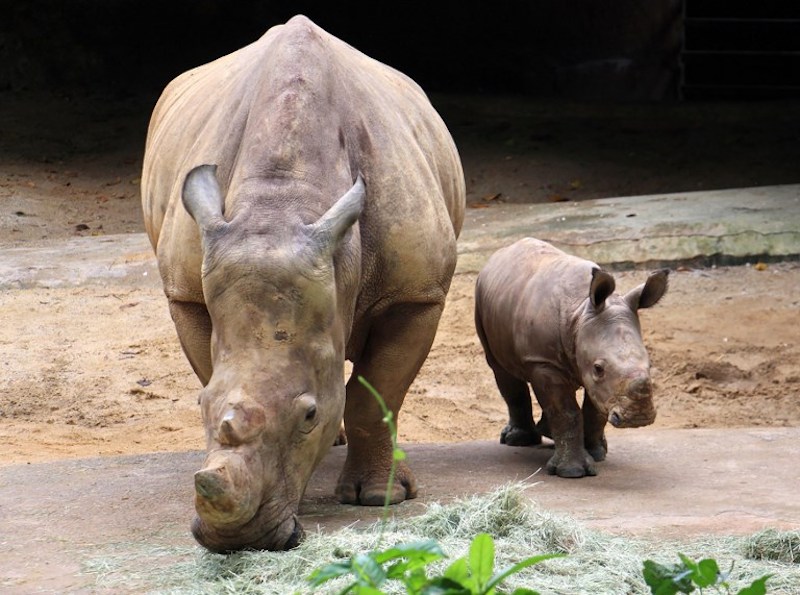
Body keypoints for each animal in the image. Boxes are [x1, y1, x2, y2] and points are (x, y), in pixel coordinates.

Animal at [141, 15, 465, 552]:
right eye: (198, 406)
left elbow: (376, 394)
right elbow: (215, 370)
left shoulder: (418, 295)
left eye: (309, 415)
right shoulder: (185, 293)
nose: (238, 540)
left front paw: (379, 498)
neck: (282, 202)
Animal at [474, 238, 668, 478]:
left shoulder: (594, 373)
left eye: (650, 363)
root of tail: (500, 253)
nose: (638, 418)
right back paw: (517, 440)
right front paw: (572, 471)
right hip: (482, 301)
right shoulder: (544, 362)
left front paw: (596, 453)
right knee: (501, 370)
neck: (581, 312)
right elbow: (565, 411)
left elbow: (594, 409)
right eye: (599, 368)